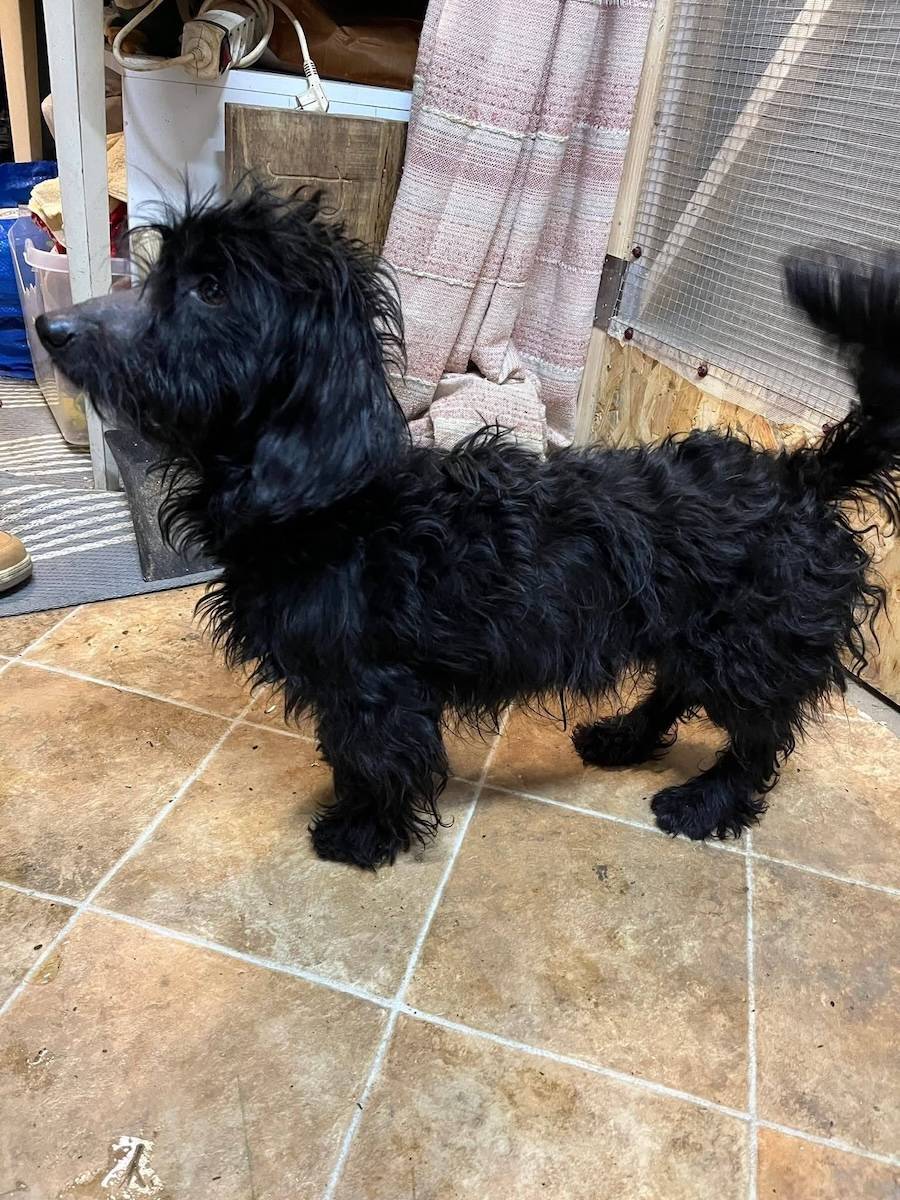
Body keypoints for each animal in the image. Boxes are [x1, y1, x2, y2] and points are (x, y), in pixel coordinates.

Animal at [36, 187, 900, 869]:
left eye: (210, 288)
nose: (50, 328)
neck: (333, 501)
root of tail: (801, 476)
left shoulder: (375, 685)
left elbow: (375, 757)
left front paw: (362, 834)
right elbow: (350, 749)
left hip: (748, 645)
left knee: (760, 738)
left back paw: (705, 804)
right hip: (689, 628)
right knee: (675, 689)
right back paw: (622, 737)